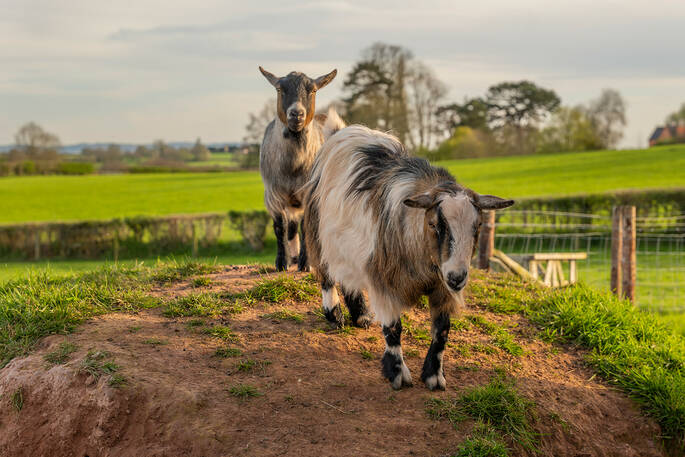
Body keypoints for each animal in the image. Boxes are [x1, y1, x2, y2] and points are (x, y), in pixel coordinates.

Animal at [258, 66, 342, 271]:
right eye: (279, 89)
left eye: (313, 90)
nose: (296, 114)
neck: (293, 167)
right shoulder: (272, 195)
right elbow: (280, 227)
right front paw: (282, 262)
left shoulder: (308, 194)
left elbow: (306, 226)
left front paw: (306, 264)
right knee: (291, 227)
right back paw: (294, 257)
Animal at [302, 125, 514, 390]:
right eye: (434, 224)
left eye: (478, 226)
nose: (457, 278)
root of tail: (348, 130)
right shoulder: (385, 280)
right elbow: (394, 328)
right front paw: (397, 373)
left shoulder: (442, 288)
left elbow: (442, 331)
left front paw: (434, 375)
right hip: (319, 235)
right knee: (327, 276)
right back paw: (335, 315)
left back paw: (361, 316)